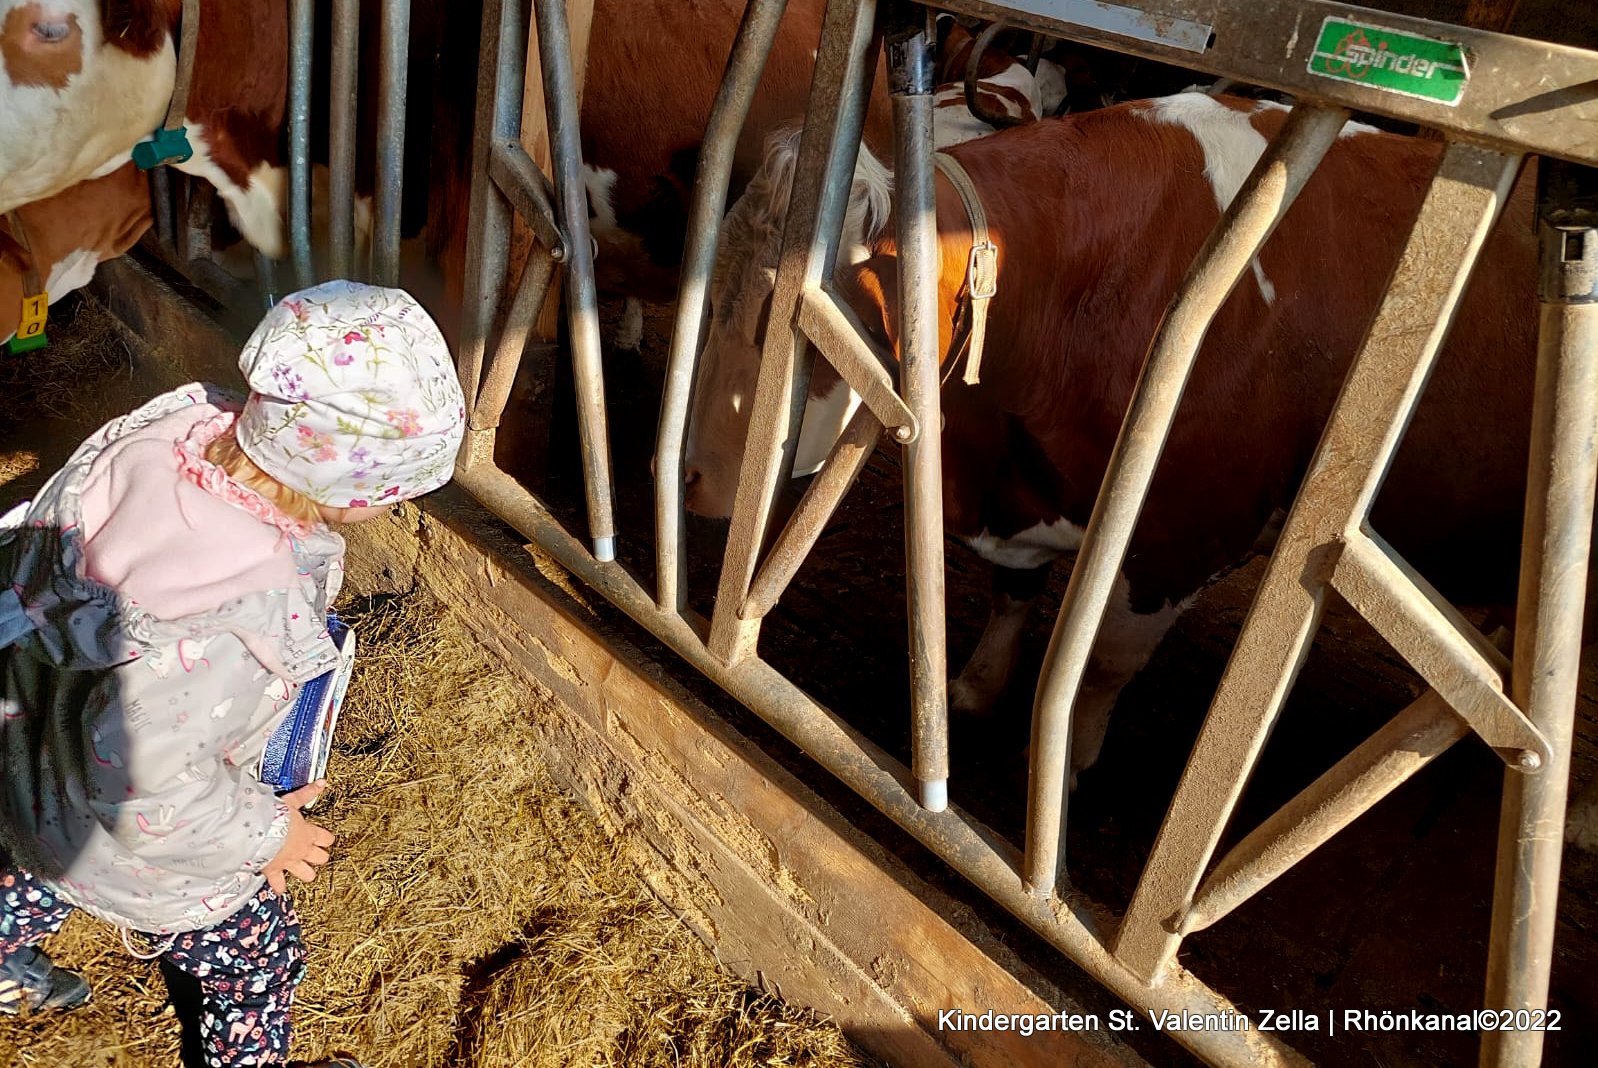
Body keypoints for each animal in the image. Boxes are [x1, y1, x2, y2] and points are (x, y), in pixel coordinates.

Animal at [680, 95, 1540, 783]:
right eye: (713, 284)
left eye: (780, 314)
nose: (688, 478)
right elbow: (1013, 593)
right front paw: (975, 689)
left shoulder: (1182, 539)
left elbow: (1098, 666)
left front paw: (1065, 760)